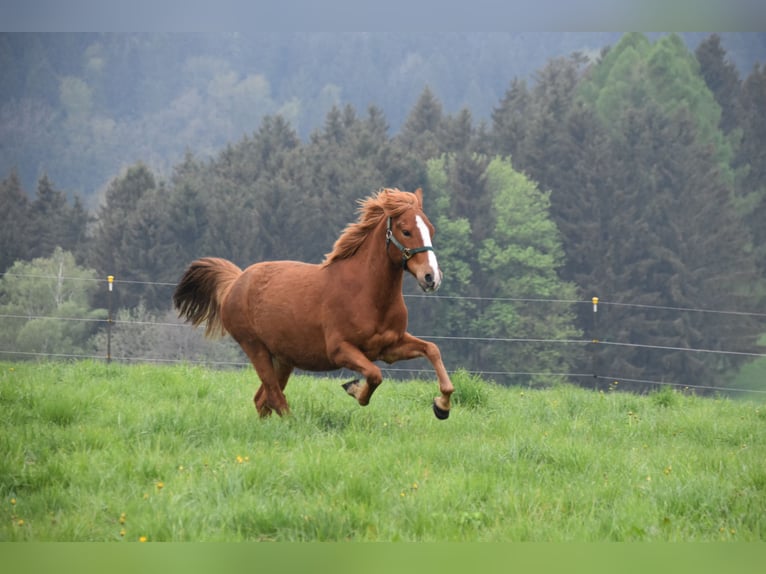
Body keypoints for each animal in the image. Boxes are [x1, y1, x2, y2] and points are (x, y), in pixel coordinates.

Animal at [174, 188, 456, 418]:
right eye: (406, 231)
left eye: (430, 230)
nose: (431, 277)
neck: (367, 294)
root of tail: (235, 282)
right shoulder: (340, 350)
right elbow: (375, 376)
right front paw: (354, 389)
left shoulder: (389, 347)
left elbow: (432, 350)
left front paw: (441, 406)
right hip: (255, 349)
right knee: (275, 397)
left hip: (282, 359)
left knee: (262, 399)